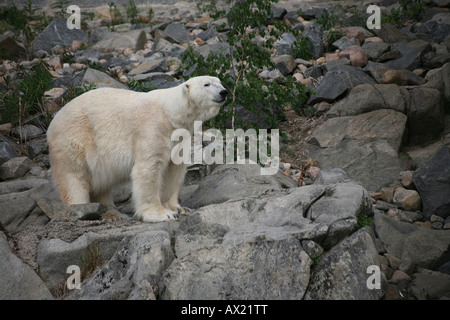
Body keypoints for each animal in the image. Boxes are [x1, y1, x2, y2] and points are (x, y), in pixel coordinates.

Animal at [48, 77, 229, 222]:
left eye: (219, 82)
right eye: (206, 84)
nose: (224, 92)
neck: (170, 113)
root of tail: (52, 123)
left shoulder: (179, 136)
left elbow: (174, 170)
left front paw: (178, 208)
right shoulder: (151, 128)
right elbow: (148, 169)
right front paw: (161, 214)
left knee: (102, 183)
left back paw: (113, 214)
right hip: (74, 140)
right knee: (73, 178)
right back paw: (82, 210)